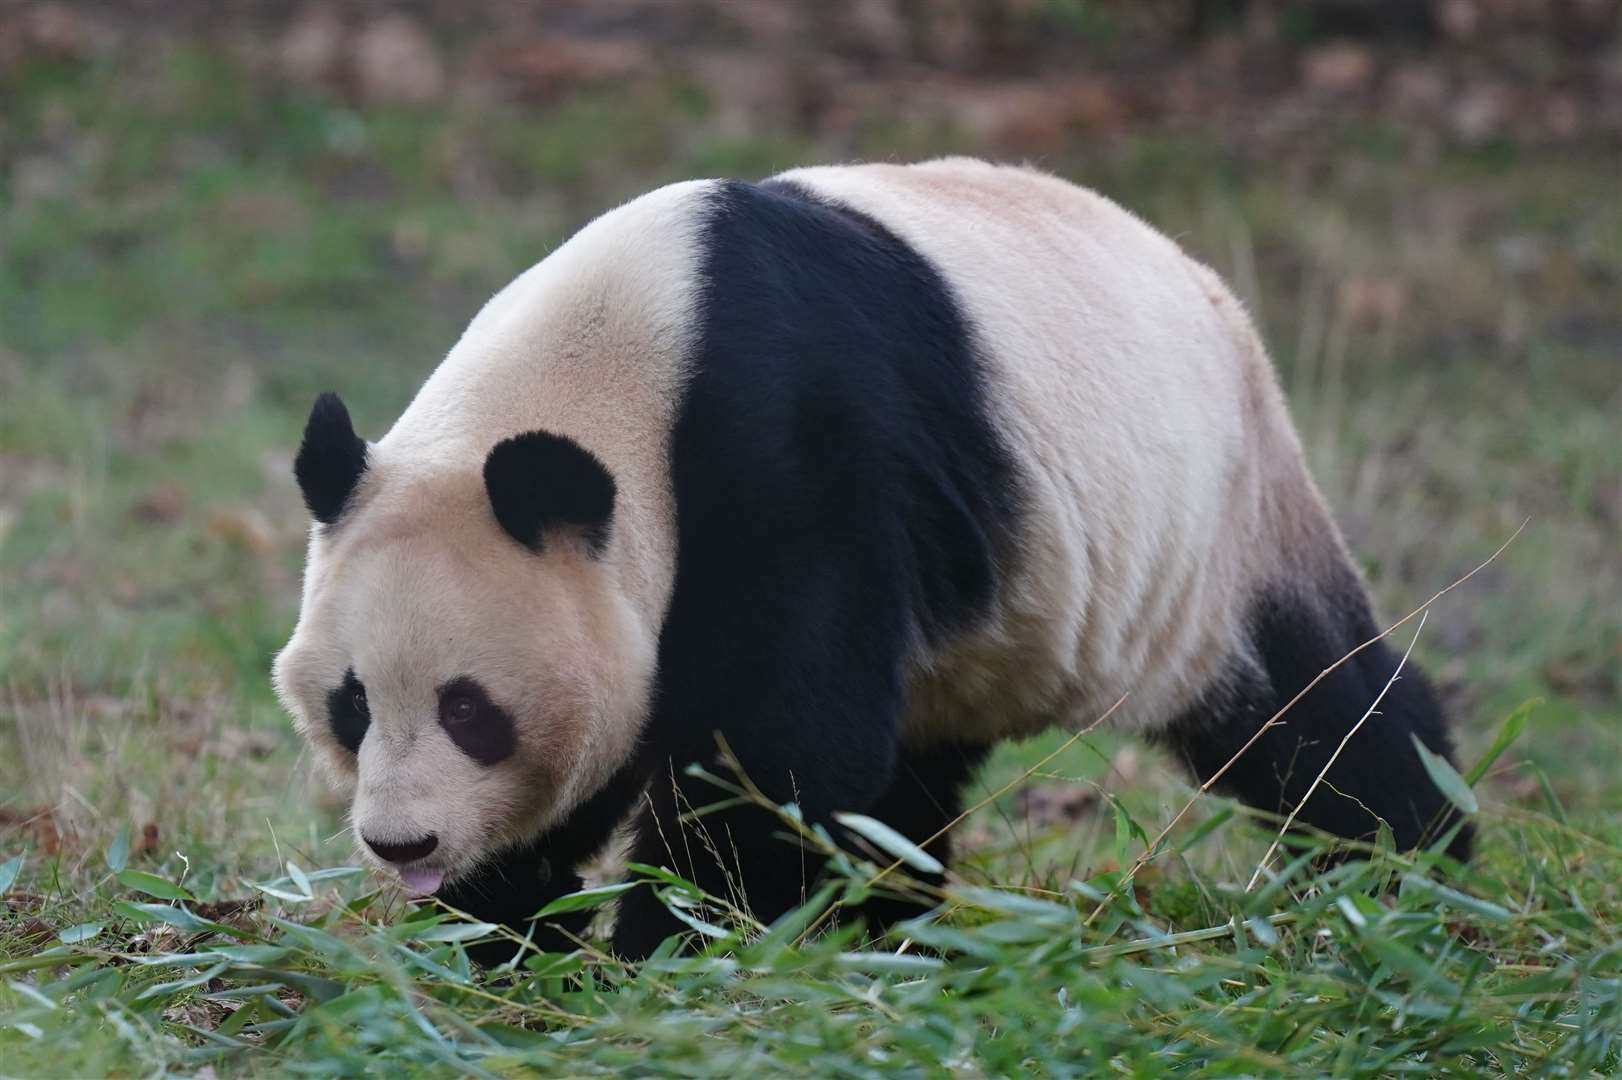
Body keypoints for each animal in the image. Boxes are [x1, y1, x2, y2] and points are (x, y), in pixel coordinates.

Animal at [275, 155, 1472, 953]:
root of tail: (1207, 288)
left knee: (1314, 713)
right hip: (994, 625)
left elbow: (780, 751)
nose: (400, 844)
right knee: (911, 776)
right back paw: (892, 935)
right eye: (352, 705)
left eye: (470, 708)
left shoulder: (788, 453)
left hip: (1210, 525)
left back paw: (1413, 870)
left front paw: (679, 948)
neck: (622, 360)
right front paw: (505, 937)